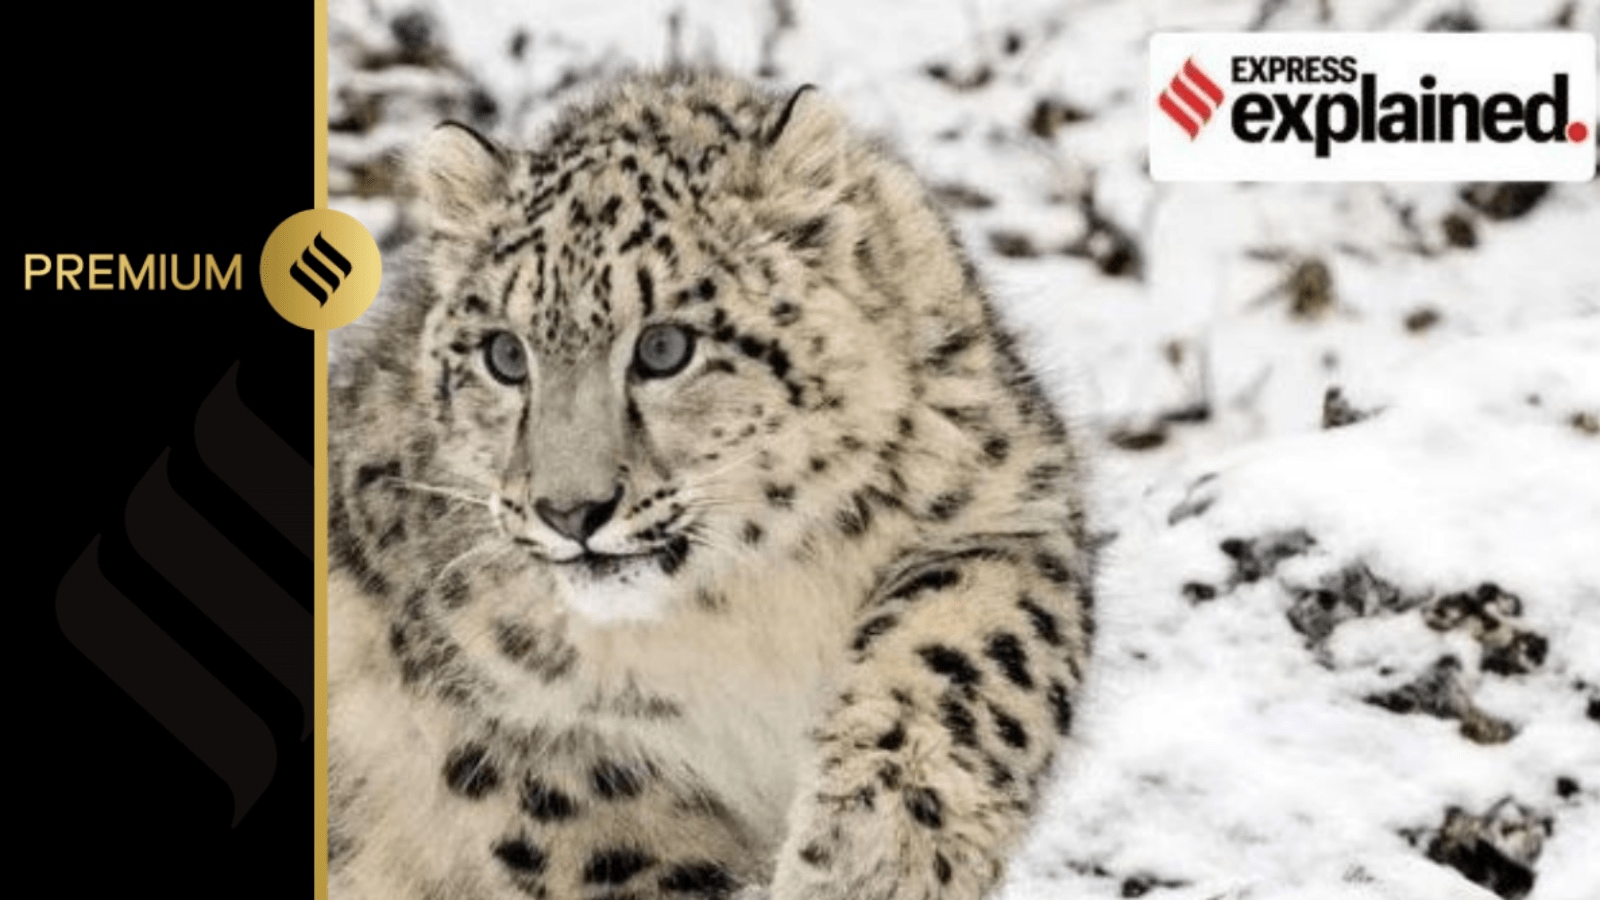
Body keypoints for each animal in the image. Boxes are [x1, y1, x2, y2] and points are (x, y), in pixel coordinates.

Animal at [328, 70, 1094, 900]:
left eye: (665, 347)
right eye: (504, 354)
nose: (569, 510)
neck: (730, 614)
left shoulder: (999, 510)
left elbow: (960, 663)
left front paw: (870, 859)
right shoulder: (499, 709)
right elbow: (598, 835)